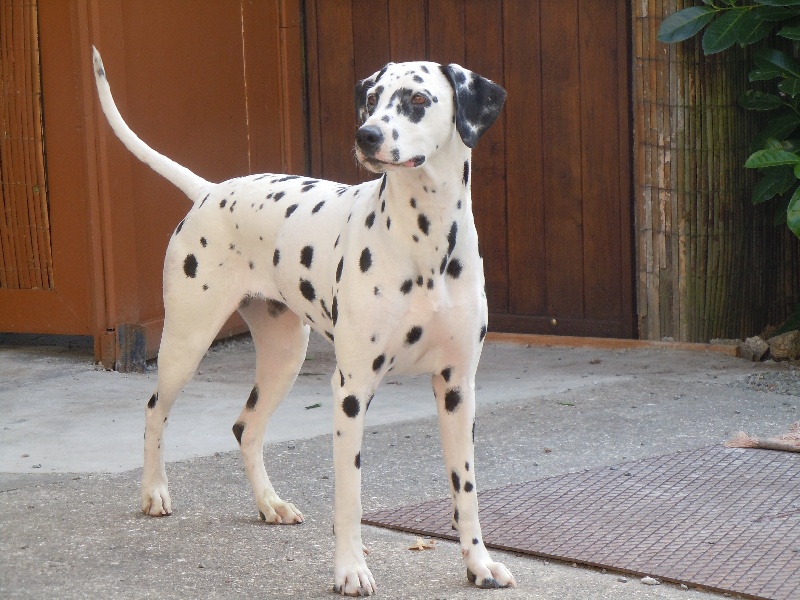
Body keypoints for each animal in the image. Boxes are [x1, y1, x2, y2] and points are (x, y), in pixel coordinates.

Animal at [90, 47, 512, 596]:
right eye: (372, 98)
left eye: (419, 99)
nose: (367, 135)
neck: (426, 241)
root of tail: (210, 191)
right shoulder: (351, 391)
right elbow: (349, 497)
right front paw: (351, 570)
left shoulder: (458, 387)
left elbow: (466, 491)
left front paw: (479, 564)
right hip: (185, 344)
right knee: (154, 411)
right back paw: (154, 492)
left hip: (284, 359)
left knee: (245, 428)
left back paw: (270, 504)